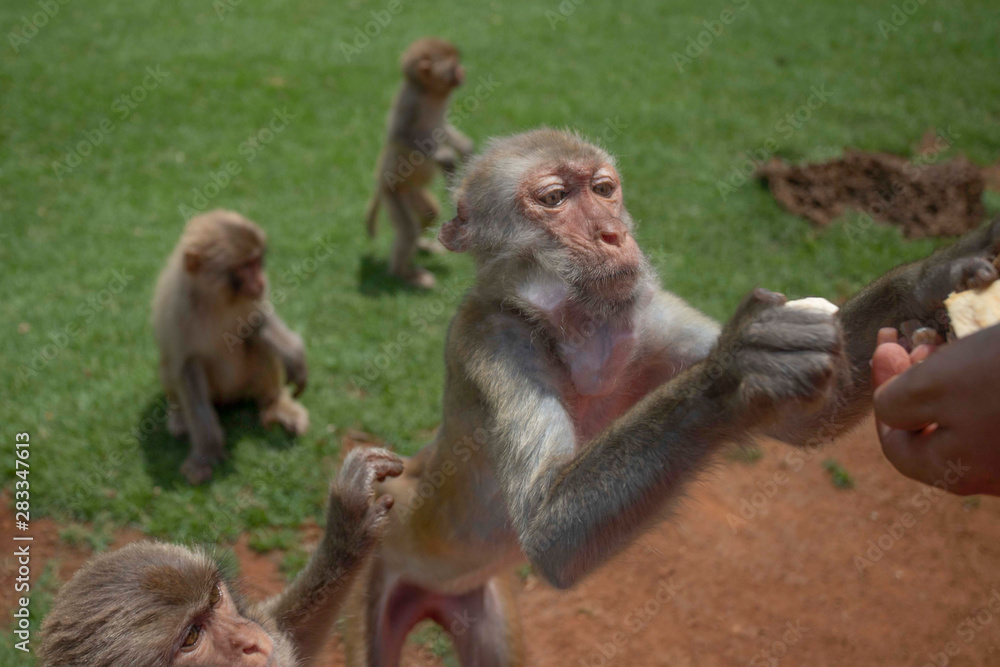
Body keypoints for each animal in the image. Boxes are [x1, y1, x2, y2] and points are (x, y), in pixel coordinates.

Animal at [153, 209, 310, 485]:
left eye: (257, 261)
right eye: (244, 266)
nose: (261, 281)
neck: (216, 299)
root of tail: (231, 398)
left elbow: (258, 322)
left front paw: (294, 354)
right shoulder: (176, 309)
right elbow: (187, 367)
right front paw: (205, 454)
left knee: (259, 344)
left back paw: (275, 403)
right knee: (169, 367)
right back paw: (179, 416)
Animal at [342, 129, 1000, 665]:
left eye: (604, 189)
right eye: (554, 198)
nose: (613, 233)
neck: (584, 331)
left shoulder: (648, 316)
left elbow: (804, 416)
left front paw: (941, 274)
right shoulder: (494, 344)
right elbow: (549, 527)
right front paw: (736, 368)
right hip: (383, 568)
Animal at [364, 37, 474, 289]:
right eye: (453, 66)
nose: (463, 71)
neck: (428, 93)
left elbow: (443, 129)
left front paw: (463, 146)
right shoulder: (411, 100)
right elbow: (399, 135)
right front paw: (445, 156)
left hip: (412, 192)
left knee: (429, 213)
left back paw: (422, 245)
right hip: (392, 193)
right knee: (406, 231)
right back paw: (403, 274)